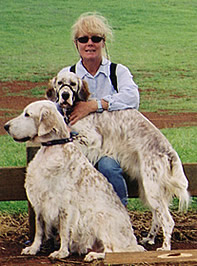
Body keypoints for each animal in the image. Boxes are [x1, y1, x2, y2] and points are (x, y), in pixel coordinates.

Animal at [3, 101, 144, 260]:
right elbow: (39, 230)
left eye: (27, 114)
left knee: (113, 250)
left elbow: (64, 231)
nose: (6, 126)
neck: (51, 148)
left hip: (101, 217)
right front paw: (33, 248)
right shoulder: (40, 203)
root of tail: (132, 240)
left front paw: (61, 252)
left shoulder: (65, 205)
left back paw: (94, 255)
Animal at [47, 71, 190, 250]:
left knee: (168, 220)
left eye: (73, 84)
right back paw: (149, 238)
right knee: (157, 216)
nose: (65, 95)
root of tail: (169, 150)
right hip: (149, 190)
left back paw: (165, 247)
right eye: (60, 83)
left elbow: (73, 139)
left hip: (152, 189)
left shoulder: (92, 138)